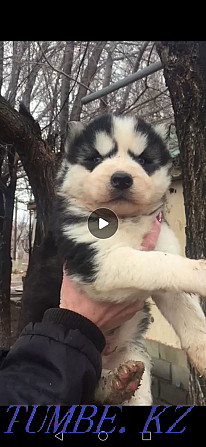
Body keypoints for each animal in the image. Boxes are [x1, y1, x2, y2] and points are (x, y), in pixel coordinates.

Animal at [54, 113, 206, 406]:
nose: (122, 178)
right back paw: (112, 384)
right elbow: (157, 261)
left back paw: (118, 383)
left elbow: (186, 308)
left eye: (143, 160)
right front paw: (200, 271)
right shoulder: (99, 261)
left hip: (133, 354)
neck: (123, 220)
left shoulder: (163, 244)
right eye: (95, 158)